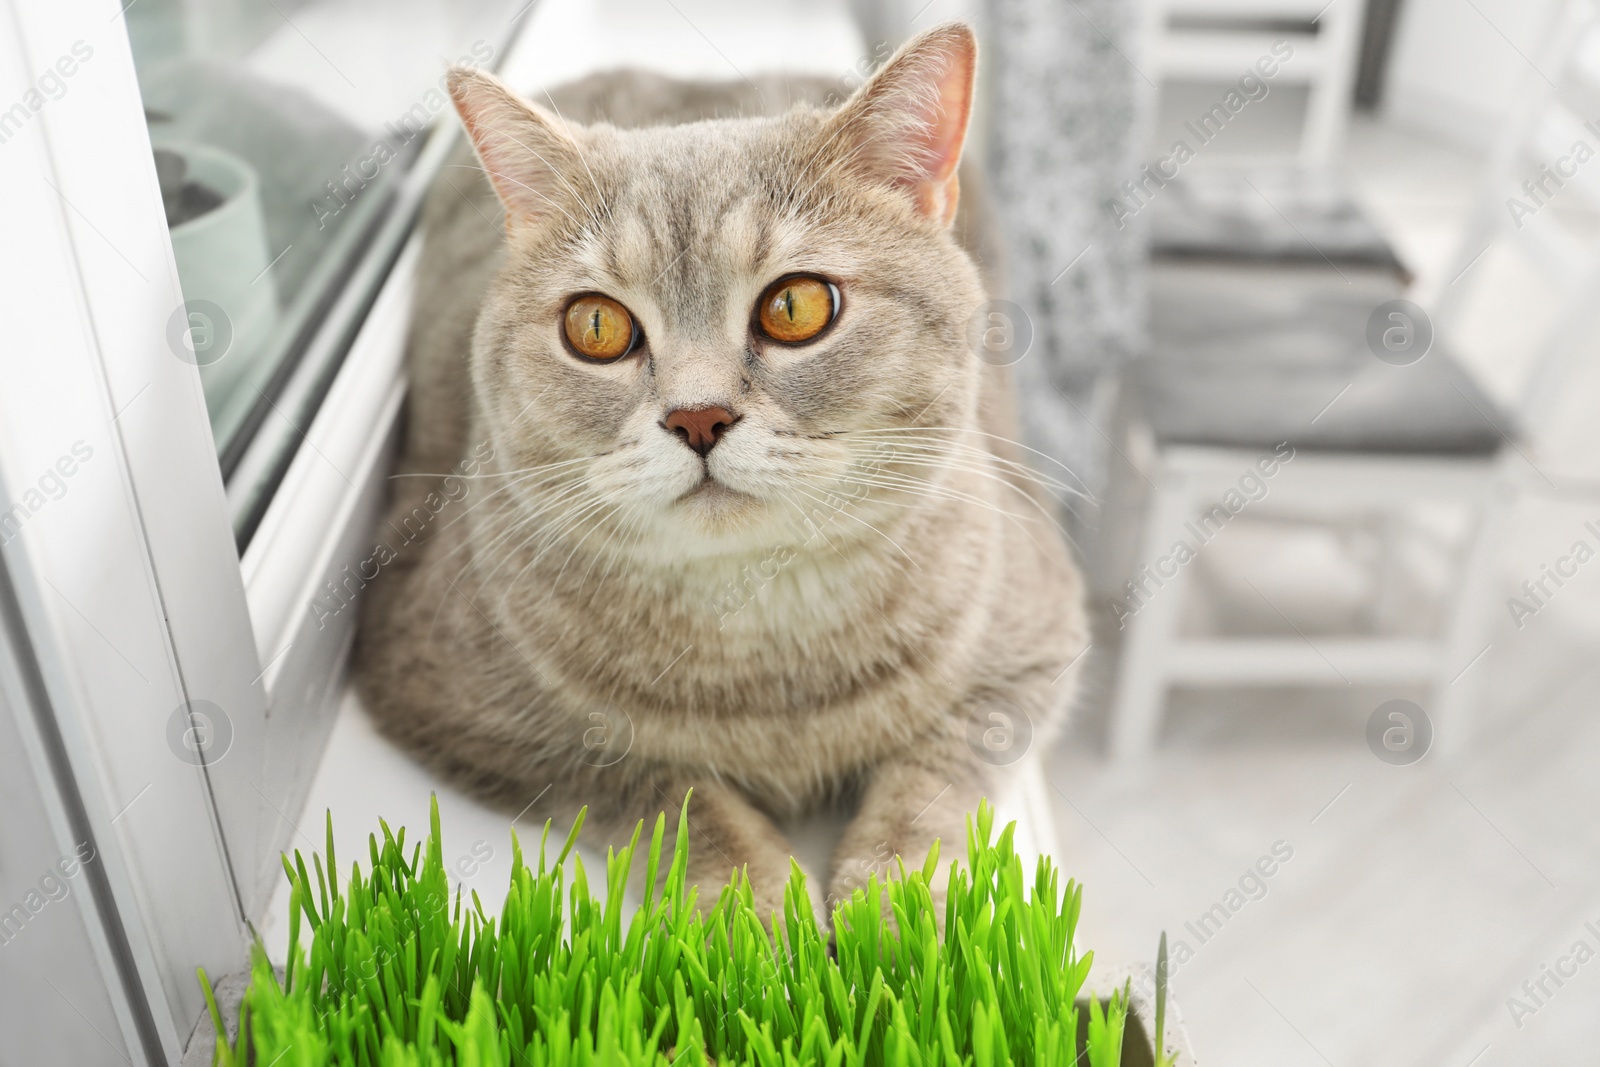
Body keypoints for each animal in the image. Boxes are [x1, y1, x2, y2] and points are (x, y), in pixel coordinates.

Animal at [353, 24, 1088, 921]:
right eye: (594, 325)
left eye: (796, 306)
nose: (696, 417)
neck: (760, 628)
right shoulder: (455, 703)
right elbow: (664, 790)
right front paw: (757, 906)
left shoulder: (1032, 646)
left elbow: (933, 779)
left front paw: (899, 905)